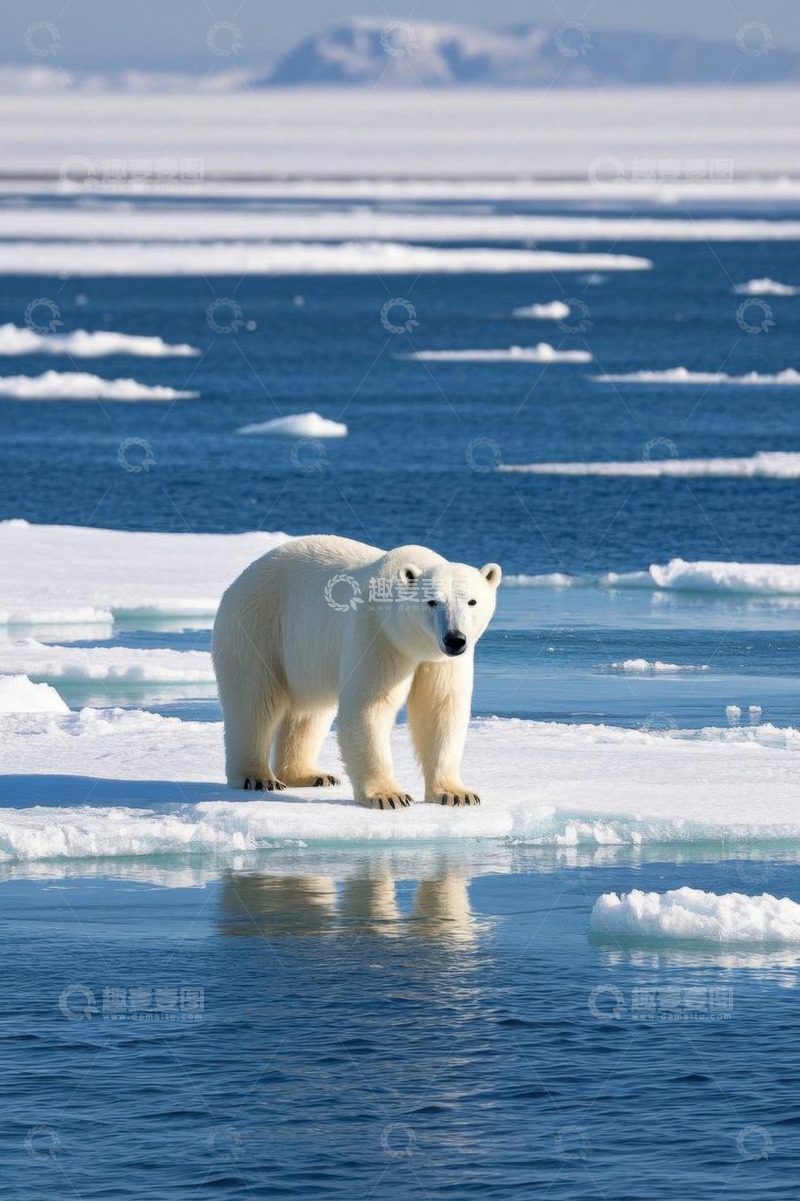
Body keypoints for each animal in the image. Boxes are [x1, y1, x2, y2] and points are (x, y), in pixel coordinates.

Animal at [212, 534, 501, 808]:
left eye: (472, 601)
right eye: (432, 602)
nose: (455, 639)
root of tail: (240, 579)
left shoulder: (441, 661)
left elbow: (440, 709)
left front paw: (457, 794)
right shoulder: (377, 634)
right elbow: (369, 707)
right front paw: (389, 796)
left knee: (309, 711)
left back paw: (311, 775)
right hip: (258, 626)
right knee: (254, 701)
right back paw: (257, 777)